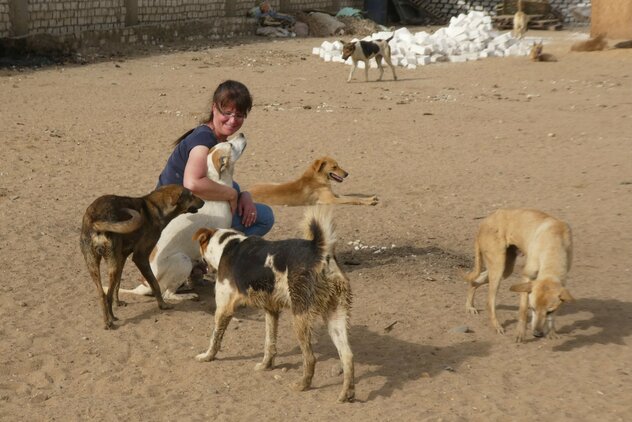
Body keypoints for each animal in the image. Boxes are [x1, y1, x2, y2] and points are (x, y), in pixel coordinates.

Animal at [78, 183, 204, 328]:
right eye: (191, 195)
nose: (204, 202)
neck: (155, 207)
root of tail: (96, 220)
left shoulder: (122, 257)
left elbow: (117, 285)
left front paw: (118, 302)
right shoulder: (141, 257)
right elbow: (155, 284)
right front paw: (163, 305)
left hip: (96, 264)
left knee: (102, 294)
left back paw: (107, 320)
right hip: (111, 264)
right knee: (107, 295)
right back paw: (111, 320)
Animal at [121, 134, 247, 302]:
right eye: (230, 145)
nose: (242, 134)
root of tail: (145, 285)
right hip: (183, 261)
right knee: (167, 294)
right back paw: (187, 295)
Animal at [193, 206, 356, 404]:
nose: (198, 265)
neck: (227, 245)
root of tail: (320, 251)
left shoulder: (224, 309)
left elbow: (215, 338)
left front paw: (207, 357)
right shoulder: (271, 310)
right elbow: (269, 343)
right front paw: (266, 365)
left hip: (300, 318)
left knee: (310, 358)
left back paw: (302, 385)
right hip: (336, 316)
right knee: (348, 356)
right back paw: (347, 394)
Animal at [247, 157, 376, 206]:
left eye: (338, 165)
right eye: (334, 167)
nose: (347, 174)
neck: (318, 179)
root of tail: (247, 190)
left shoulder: (334, 195)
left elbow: (353, 197)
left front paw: (370, 198)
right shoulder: (330, 200)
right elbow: (352, 199)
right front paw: (369, 202)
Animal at [462, 209, 576, 342]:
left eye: (549, 312)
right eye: (532, 308)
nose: (537, 334)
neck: (554, 242)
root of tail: (484, 221)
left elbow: (553, 317)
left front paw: (551, 332)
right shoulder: (527, 277)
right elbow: (522, 310)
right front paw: (520, 333)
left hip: (506, 269)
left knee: (475, 281)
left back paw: (469, 306)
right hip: (498, 268)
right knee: (489, 302)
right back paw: (496, 326)